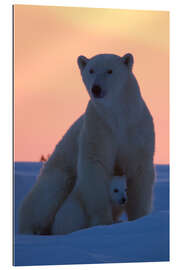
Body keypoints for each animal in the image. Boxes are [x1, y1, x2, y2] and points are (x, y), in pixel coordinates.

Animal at [19, 52, 155, 234]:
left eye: (110, 70)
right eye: (91, 70)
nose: (96, 88)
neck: (118, 116)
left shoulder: (136, 130)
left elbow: (139, 171)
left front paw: (139, 219)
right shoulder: (98, 127)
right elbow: (95, 166)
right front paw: (103, 222)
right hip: (58, 172)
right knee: (47, 197)